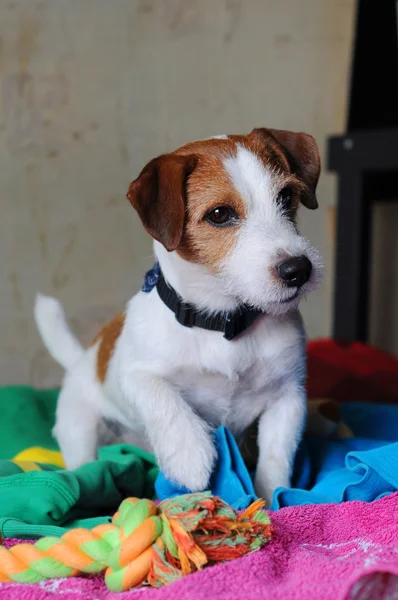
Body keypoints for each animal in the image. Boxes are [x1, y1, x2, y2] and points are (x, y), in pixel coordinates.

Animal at [33, 127, 320, 506]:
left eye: (286, 196)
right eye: (219, 214)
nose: (298, 270)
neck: (221, 323)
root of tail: (82, 361)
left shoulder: (288, 396)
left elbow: (275, 460)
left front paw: (271, 497)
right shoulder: (133, 375)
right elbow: (162, 397)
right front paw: (190, 456)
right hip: (79, 428)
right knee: (83, 463)